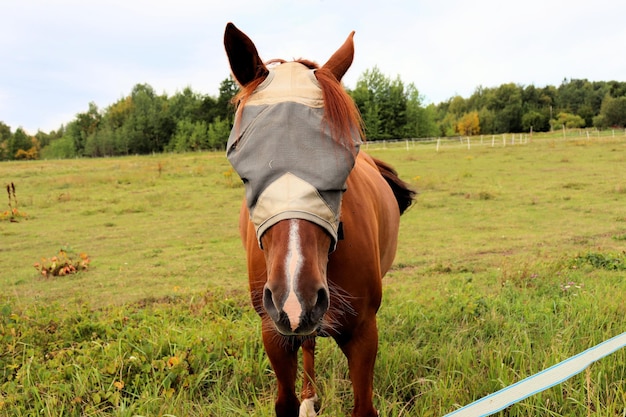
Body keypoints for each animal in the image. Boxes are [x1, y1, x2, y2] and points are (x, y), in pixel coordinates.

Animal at [223, 23, 414, 416]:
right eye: (244, 174)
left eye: (344, 164)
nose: (296, 299)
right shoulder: (274, 332)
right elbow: (284, 400)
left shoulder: (362, 333)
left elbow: (363, 407)